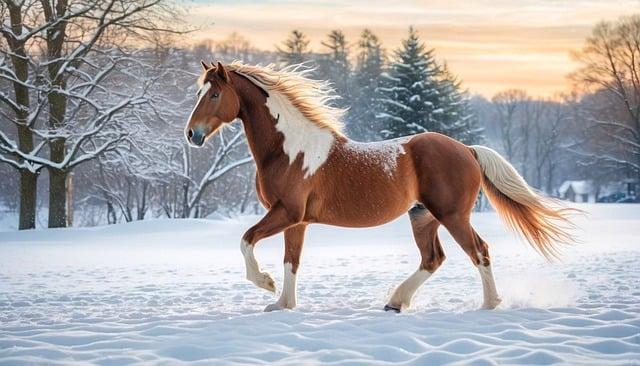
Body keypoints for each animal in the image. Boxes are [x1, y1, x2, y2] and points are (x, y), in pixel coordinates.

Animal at [184, 61, 576, 314]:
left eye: (214, 94)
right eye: (201, 92)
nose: (192, 134)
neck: (289, 150)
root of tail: (466, 149)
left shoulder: (286, 213)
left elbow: (246, 241)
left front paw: (264, 283)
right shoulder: (296, 221)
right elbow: (291, 262)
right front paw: (282, 304)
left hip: (452, 215)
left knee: (479, 251)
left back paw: (489, 304)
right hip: (423, 217)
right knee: (433, 259)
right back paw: (396, 301)